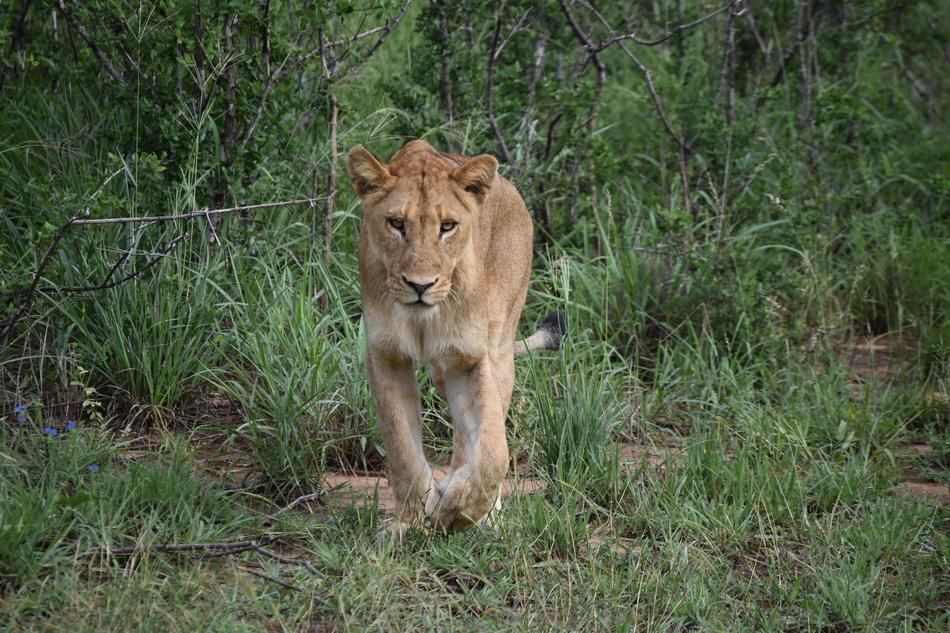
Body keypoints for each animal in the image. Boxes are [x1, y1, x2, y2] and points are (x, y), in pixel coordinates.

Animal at [345, 139, 563, 538]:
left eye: (447, 227)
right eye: (396, 223)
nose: (420, 285)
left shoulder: (469, 358)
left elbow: (494, 453)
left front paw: (457, 510)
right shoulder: (385, 354)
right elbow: (401, 446)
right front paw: (409, 523)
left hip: (498, 347)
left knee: (480, 430)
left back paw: (481, 512)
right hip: (443, 370)